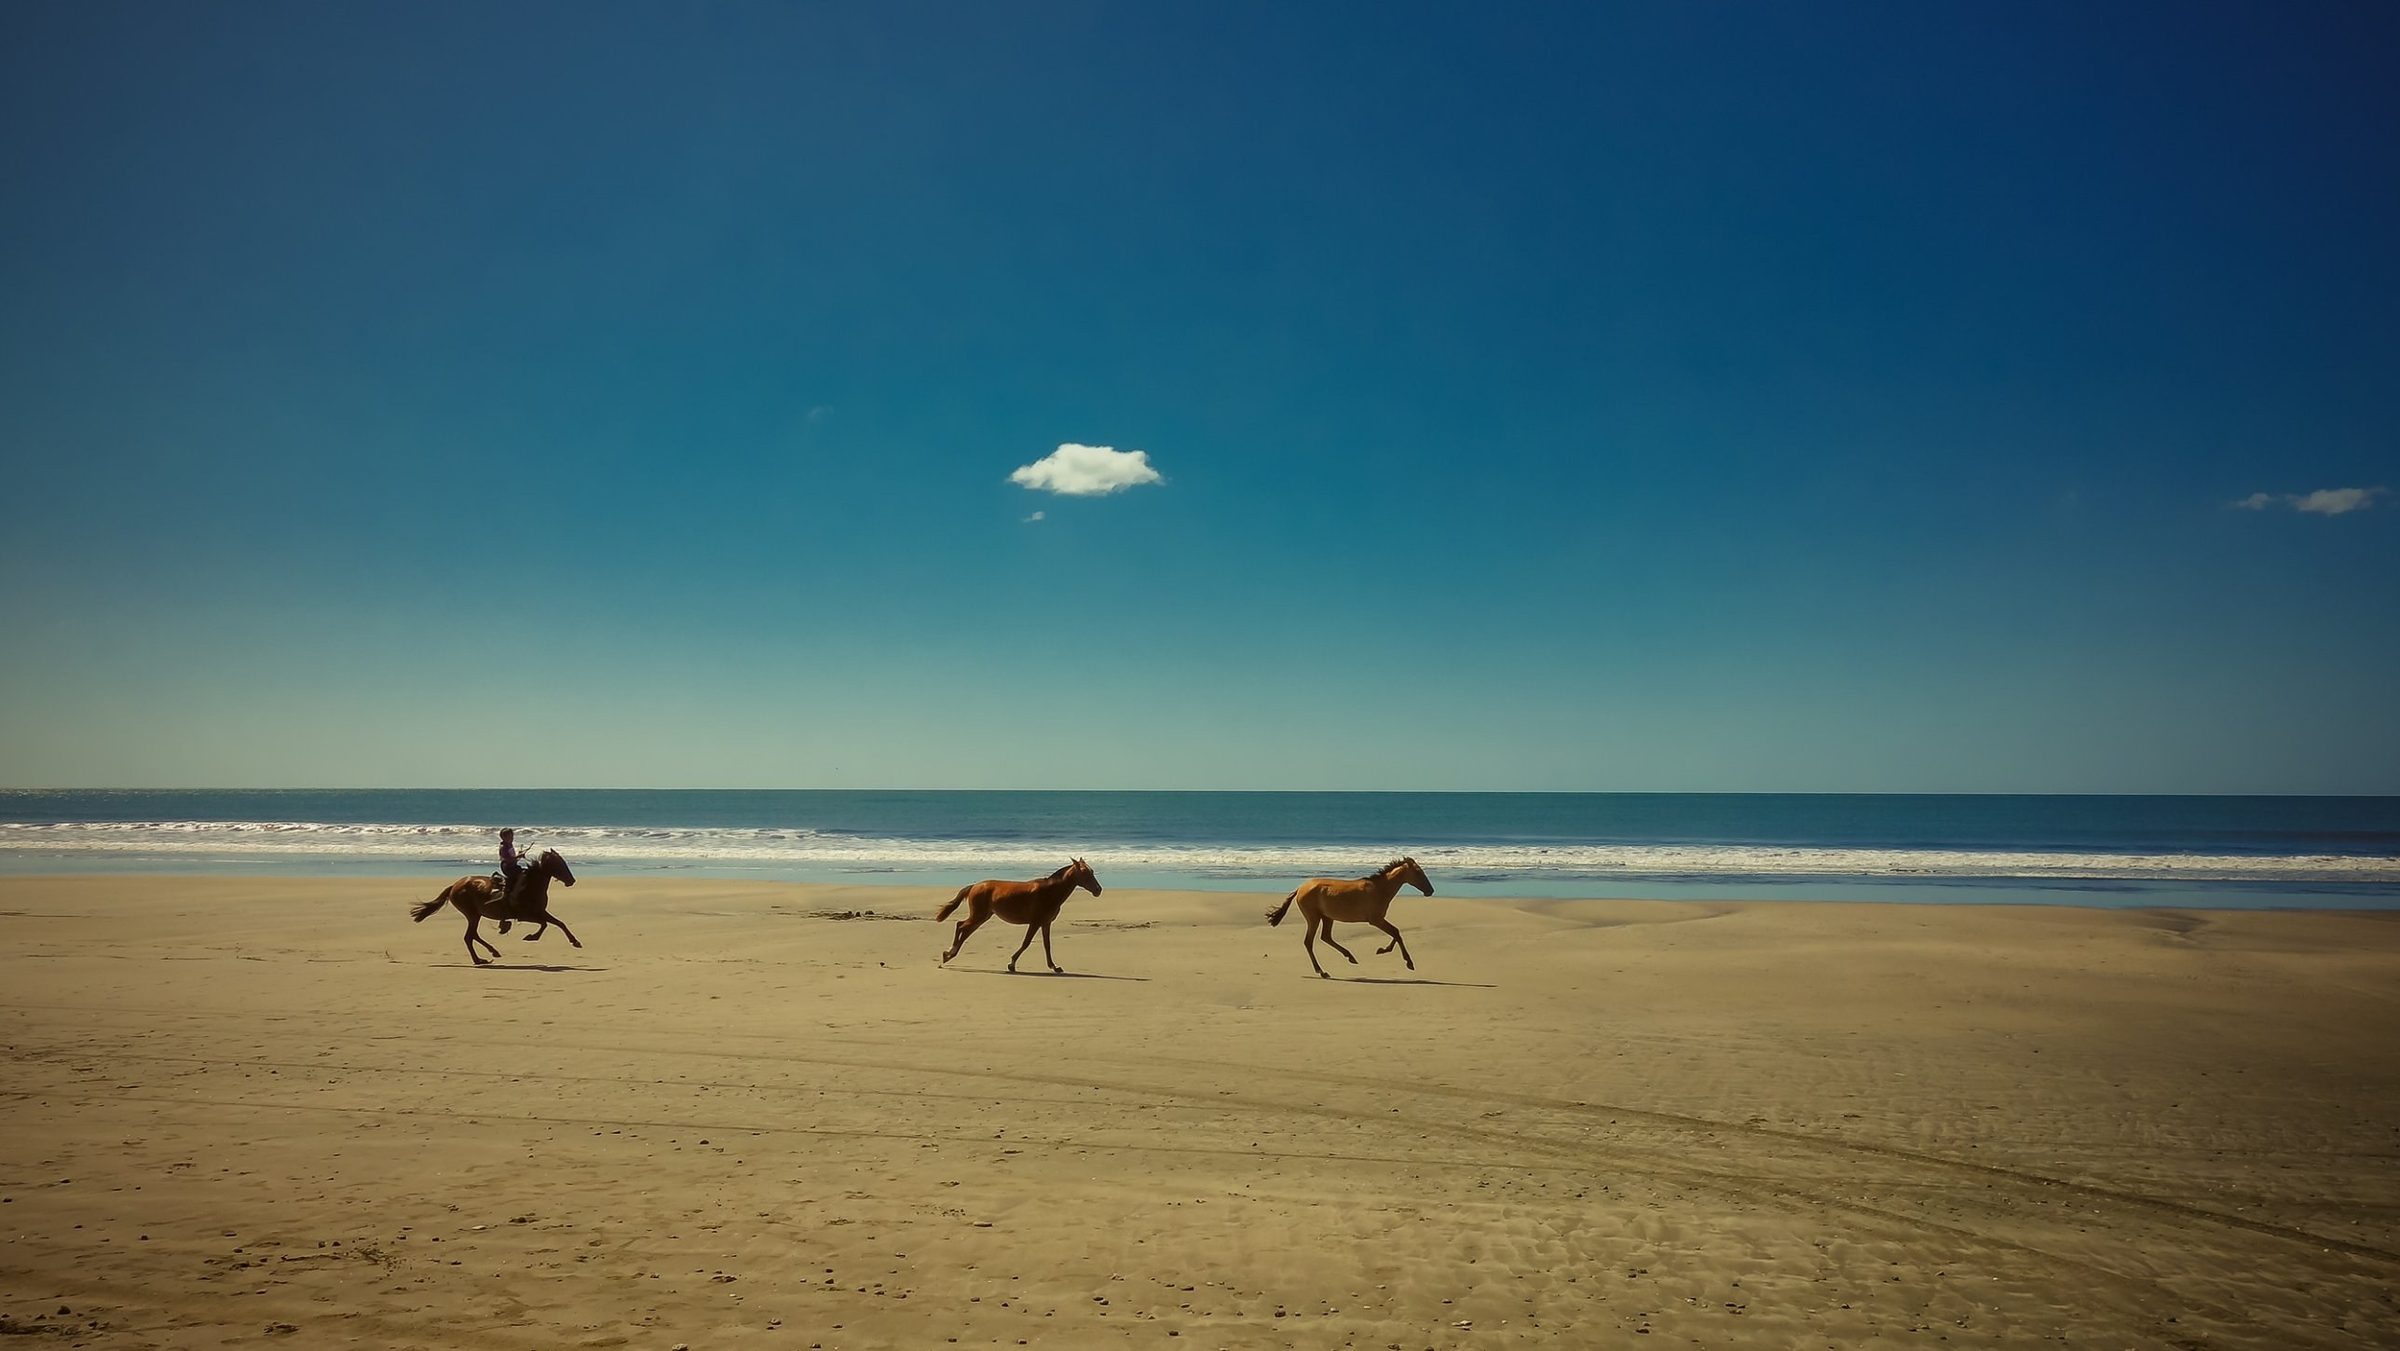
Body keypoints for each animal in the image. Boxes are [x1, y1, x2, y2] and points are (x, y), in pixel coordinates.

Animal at [409, 848, 581, 966]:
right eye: (559, 864)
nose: (571, 880)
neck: (530, 885)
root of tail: (454, 886)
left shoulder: (540, 912)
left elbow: (559, 923)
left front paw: (575, 942)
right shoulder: (526, 915)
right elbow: (545, 924)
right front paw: (531, 937)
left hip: (475, 915)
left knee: (472, 935)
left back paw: (490, 953)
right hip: (472, 914)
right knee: (469, 937)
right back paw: (480, 959)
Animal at [935, 858, 1103, 973]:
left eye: (1092, 872)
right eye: (1085, 873)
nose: (1098, 890)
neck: (1050, 891)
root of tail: (974, 886)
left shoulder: (1045, 923)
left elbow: (1047, 945)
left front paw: (1054, 967)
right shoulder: (1035, 922)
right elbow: (1026, 943)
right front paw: (1012, 964)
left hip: (983, 916)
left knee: (964, 930)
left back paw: (949, 955)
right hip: (978, 915)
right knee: (960, 926)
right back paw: (949, 953)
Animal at [1265, 856, 1433, 978]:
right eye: (1418, 872)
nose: (1430, 891)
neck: (1379, 889)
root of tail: (1300, 888)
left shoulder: (1378, 920)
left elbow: (1396, 932)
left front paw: (1382, 950)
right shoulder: (1375, 920)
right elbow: (1396, 932)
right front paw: (1408, 962)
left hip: (1327, 917)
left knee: (1325, 937)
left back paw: (1350, 957)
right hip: (1313, 918)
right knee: (1309, 942)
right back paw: (1322, 971)